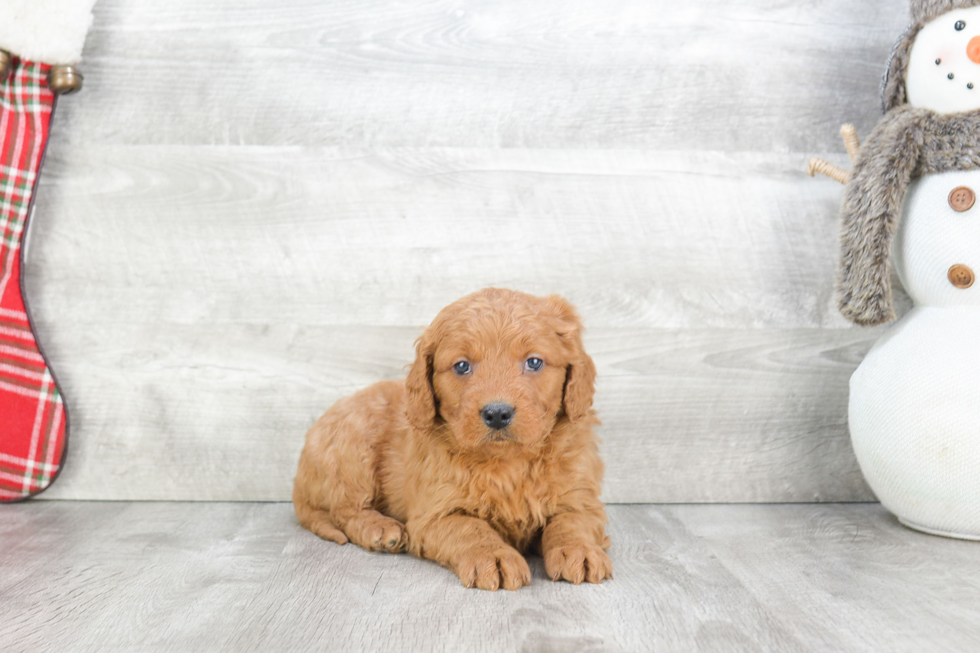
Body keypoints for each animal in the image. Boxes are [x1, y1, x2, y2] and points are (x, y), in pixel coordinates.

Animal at [290, 288, 612, 588]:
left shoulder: (581, 496)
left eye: (534, 362)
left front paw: (579, 550)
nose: (497, 413)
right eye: (461, 366)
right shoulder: (434, 512)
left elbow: (572, 521)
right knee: (345, 510)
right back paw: (379, 530)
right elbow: (469, 528)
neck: (507, 462)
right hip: (352, 446)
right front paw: (494, 556)